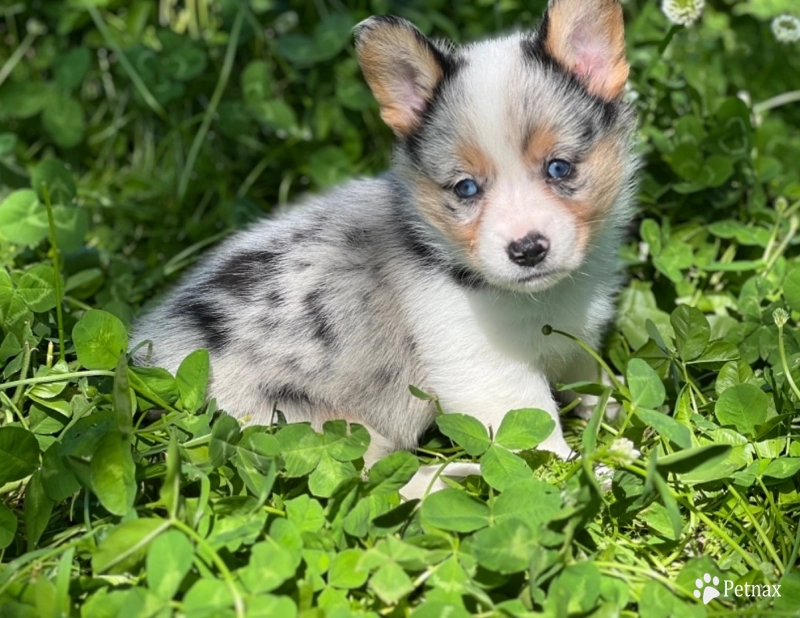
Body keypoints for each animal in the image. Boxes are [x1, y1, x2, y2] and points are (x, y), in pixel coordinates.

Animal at [131, 0, 636, 488]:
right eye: (465, 188)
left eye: (559, 168)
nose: (527, 250)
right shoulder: (488, 370)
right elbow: (539, 442)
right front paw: (574, 476)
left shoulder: (577, 344)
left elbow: (593, 382)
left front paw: (617, 412)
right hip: (318, 426)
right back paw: (454, 476)